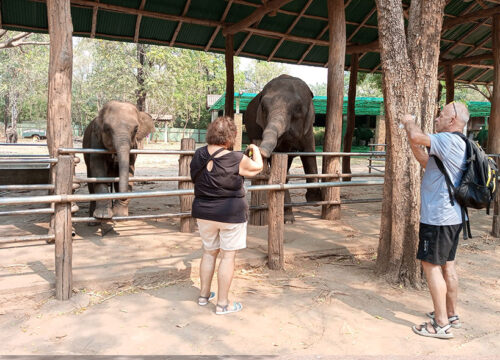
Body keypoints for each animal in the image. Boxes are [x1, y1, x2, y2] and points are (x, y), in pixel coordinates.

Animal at [244, 74, 322, 221]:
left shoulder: (308, 128)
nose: (251, 149)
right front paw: (288, 219)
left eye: (298, 108)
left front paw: (315, 200)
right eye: (263, 108)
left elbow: (309, 154)